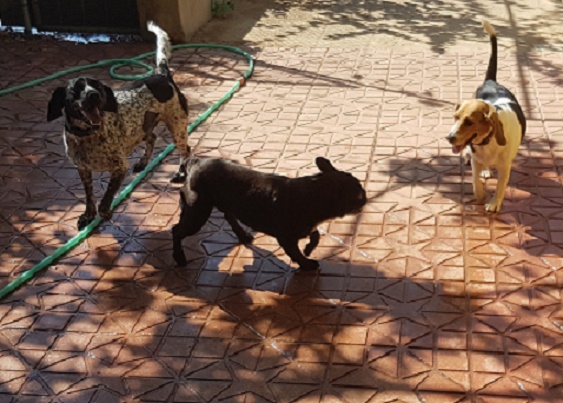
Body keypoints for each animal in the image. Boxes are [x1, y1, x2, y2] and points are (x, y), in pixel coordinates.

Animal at [47, 22, 190, 229]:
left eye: (98, 86)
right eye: (75, 90)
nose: (94, 95)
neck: (86, 135)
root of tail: (164, 76)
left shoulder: (119, 167)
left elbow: (105, 199)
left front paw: (105, 213)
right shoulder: (83, 170)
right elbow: (89, 197)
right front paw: (87, 215)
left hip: (177, 128)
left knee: (185, 151)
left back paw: (181, 173)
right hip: (142, 128)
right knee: (153, 137)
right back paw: (143, 162)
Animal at [172, 157, 367, 271]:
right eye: (357, 194)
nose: (365, 196)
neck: (313, 192)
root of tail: (194, 163)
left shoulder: (309, 226)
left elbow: (315, 235)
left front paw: (309, 249)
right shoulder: (286, 239)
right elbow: (296, 253)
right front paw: (306, 263)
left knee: (229, 215)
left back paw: (243, 235)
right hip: (197, 213)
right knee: (176, 231)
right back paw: (179, 257)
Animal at [446, 21, 526, 212]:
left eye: (469, 122)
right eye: (455, 117)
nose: (449, 138)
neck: (487, 142)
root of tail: (491, 81)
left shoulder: (505, 167)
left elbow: (500, 186)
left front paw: (494, 203)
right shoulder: (476, 160)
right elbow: (475, 180)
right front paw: (480, 194)